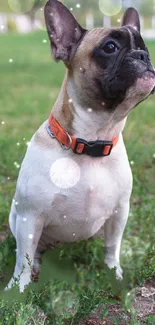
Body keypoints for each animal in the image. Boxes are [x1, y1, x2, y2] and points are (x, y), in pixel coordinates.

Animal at [5, 0, 154, 292]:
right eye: (110, 47)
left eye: (144, 45)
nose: (143, 55)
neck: (92, 141)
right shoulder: (29, 216)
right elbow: (23, 258)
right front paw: (18, 290)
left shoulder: (119, 212)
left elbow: (112, 247)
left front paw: (114, 273)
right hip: (16, 218)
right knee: (31, 251)